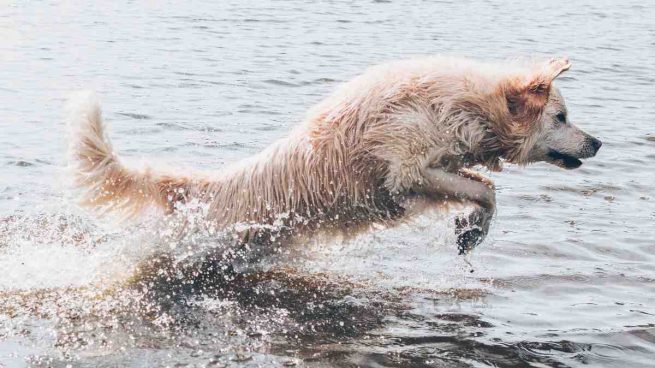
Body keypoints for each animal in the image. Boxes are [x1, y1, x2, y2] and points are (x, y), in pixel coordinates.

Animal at [65, 56, 600, 254]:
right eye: (562, 117)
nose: (598, 143)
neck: (467, 106)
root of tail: (211, 188)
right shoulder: (406, 169)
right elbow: (485, 190)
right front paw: (473, 228)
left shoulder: (433, 169)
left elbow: (484, 187)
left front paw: (471, 230)